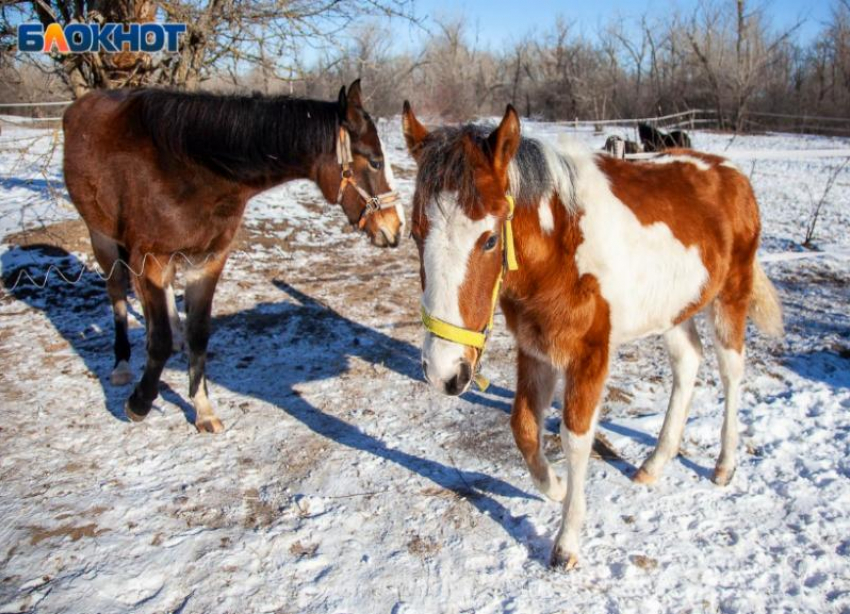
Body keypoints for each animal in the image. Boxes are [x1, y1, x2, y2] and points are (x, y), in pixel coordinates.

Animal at [63, 79, 400, 434]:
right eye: (375, 161)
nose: (396, 226)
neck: (188, 168)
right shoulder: (150, 257)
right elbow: (159, 340)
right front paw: (139, 403)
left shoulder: (208, 260)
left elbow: (198, 334)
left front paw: (203, 409)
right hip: (101, 238)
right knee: (117, 295)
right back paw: (122, 365)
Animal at [402, 102, 780, 572]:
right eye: (416, 233)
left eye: (489, 239)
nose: (444, 372)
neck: (562, 249)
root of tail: (733, 173)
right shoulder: (535, 347)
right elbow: (523, 426)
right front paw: (555, 487)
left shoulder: (591, 354)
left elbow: (576, 437)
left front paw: (566, 542)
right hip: (674, 311)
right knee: (688, 362)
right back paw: (654, 464)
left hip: (730, 297)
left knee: (731, 371)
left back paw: (724, 466)